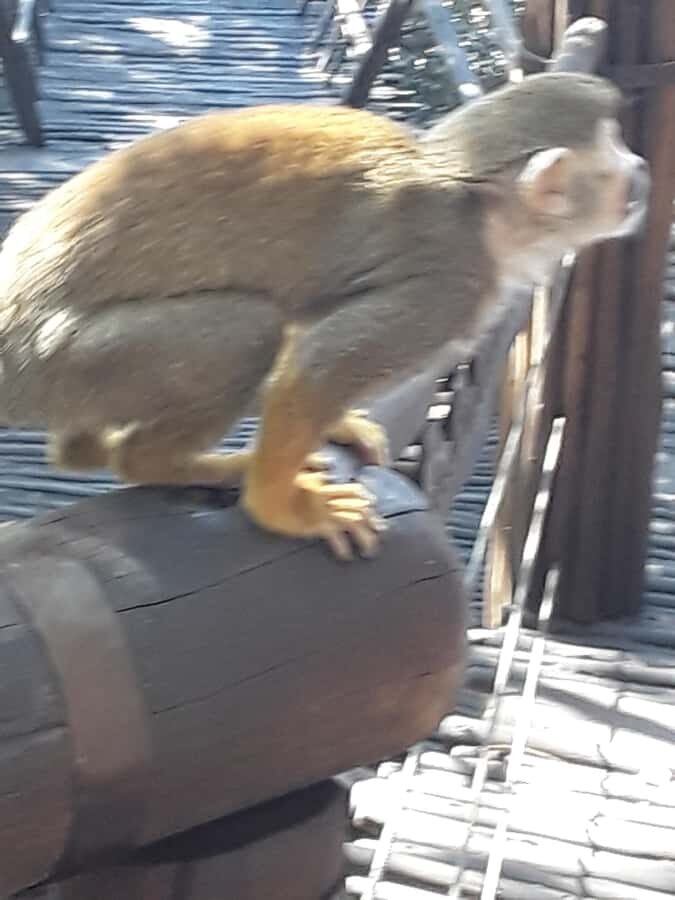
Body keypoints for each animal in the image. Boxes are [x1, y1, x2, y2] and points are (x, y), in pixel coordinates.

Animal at [0, 72, 650, 560]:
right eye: (616, 157)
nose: (642, 170)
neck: (478, 204)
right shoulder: (451, 284)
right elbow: (320, 365)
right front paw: (281, 509)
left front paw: (340, 425)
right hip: (62, 360)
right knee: (247, 330)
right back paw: (166, 462)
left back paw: (87, 452)